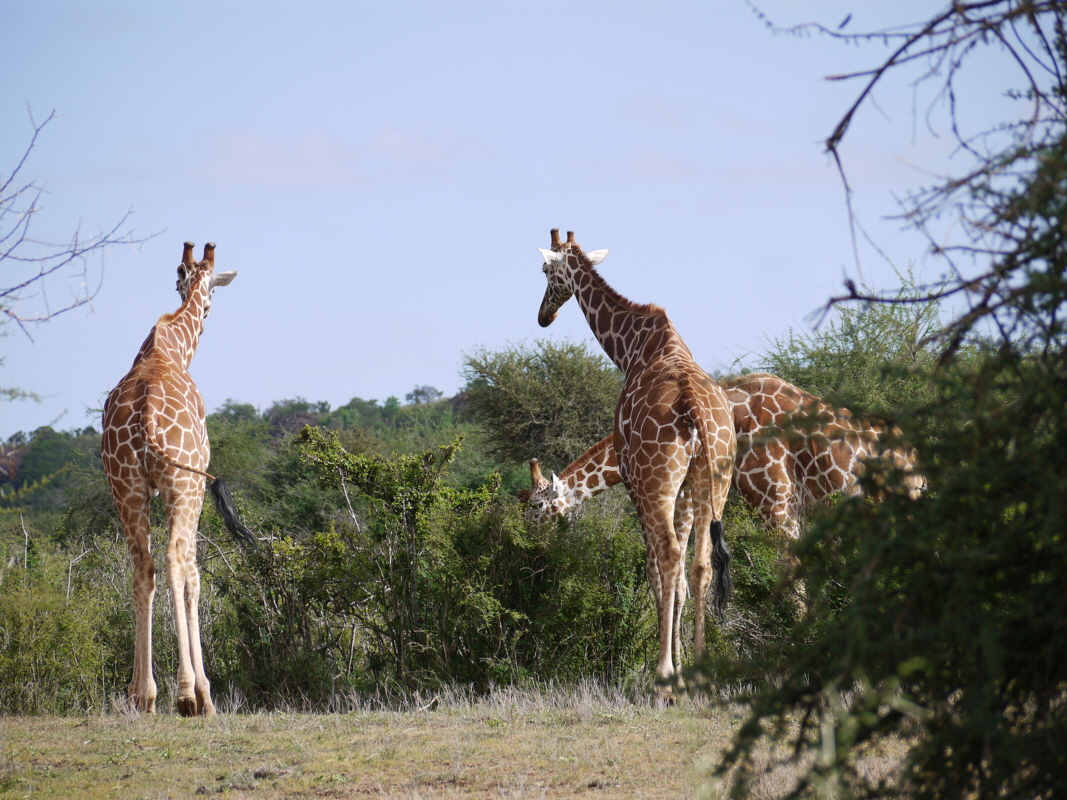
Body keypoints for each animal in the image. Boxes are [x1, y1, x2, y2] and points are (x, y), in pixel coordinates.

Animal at [101, 241, 256, 716]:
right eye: (213, 293)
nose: (206, 309)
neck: (166, 347)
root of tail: (147, 418)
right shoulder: (194, 487)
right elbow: (194, 575)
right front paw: (204, 692)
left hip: (125, 487)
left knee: (143, 567)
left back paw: (142, 694)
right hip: (183, 486)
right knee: (174, 562)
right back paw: (187, 695)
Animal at [537, 228, 738, 691]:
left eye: (544, 270)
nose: (543, 316)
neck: (631, 347)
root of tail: (694, 408)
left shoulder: (634, 482)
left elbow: (654, 569)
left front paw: (668, 667)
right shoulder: (684, 492)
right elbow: (682, 579)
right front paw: (683, 663)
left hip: (657, 482)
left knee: (668, 556)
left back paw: (664, 677)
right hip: (712, 483)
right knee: (701, 564)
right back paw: (701, 670)